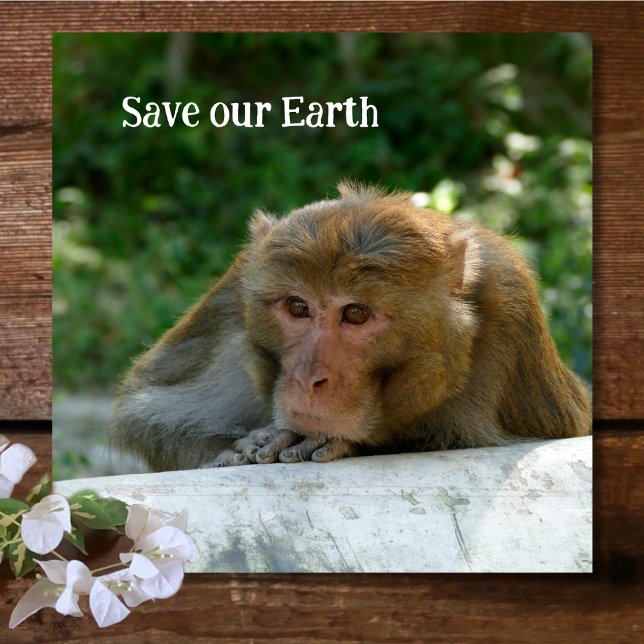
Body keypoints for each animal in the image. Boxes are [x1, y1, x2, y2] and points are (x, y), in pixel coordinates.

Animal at [111, 182, 591, 472]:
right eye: (298, 306)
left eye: (356, 314)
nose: (308, 378)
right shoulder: (235, 295)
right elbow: (146, 413)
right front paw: (234, 449)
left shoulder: (509, 303)